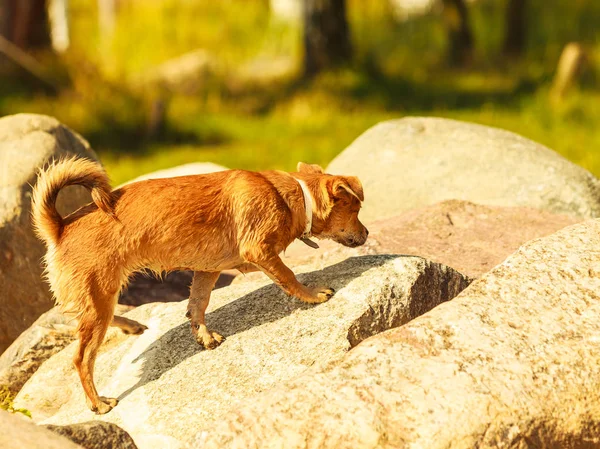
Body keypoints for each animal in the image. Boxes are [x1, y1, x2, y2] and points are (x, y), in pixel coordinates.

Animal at [32, 158, 370, 412]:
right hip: (99, 295)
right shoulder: (260, 253)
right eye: (355, 211)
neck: (296, 197)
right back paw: (98, 403)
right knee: (82, 358)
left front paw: (203, 335)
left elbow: (198, 304)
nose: (367, 233)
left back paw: (132, 326)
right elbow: (289, 276)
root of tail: (60, 226)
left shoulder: (208, 271)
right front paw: (312, 295)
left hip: (100, 297)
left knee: (87, 318)